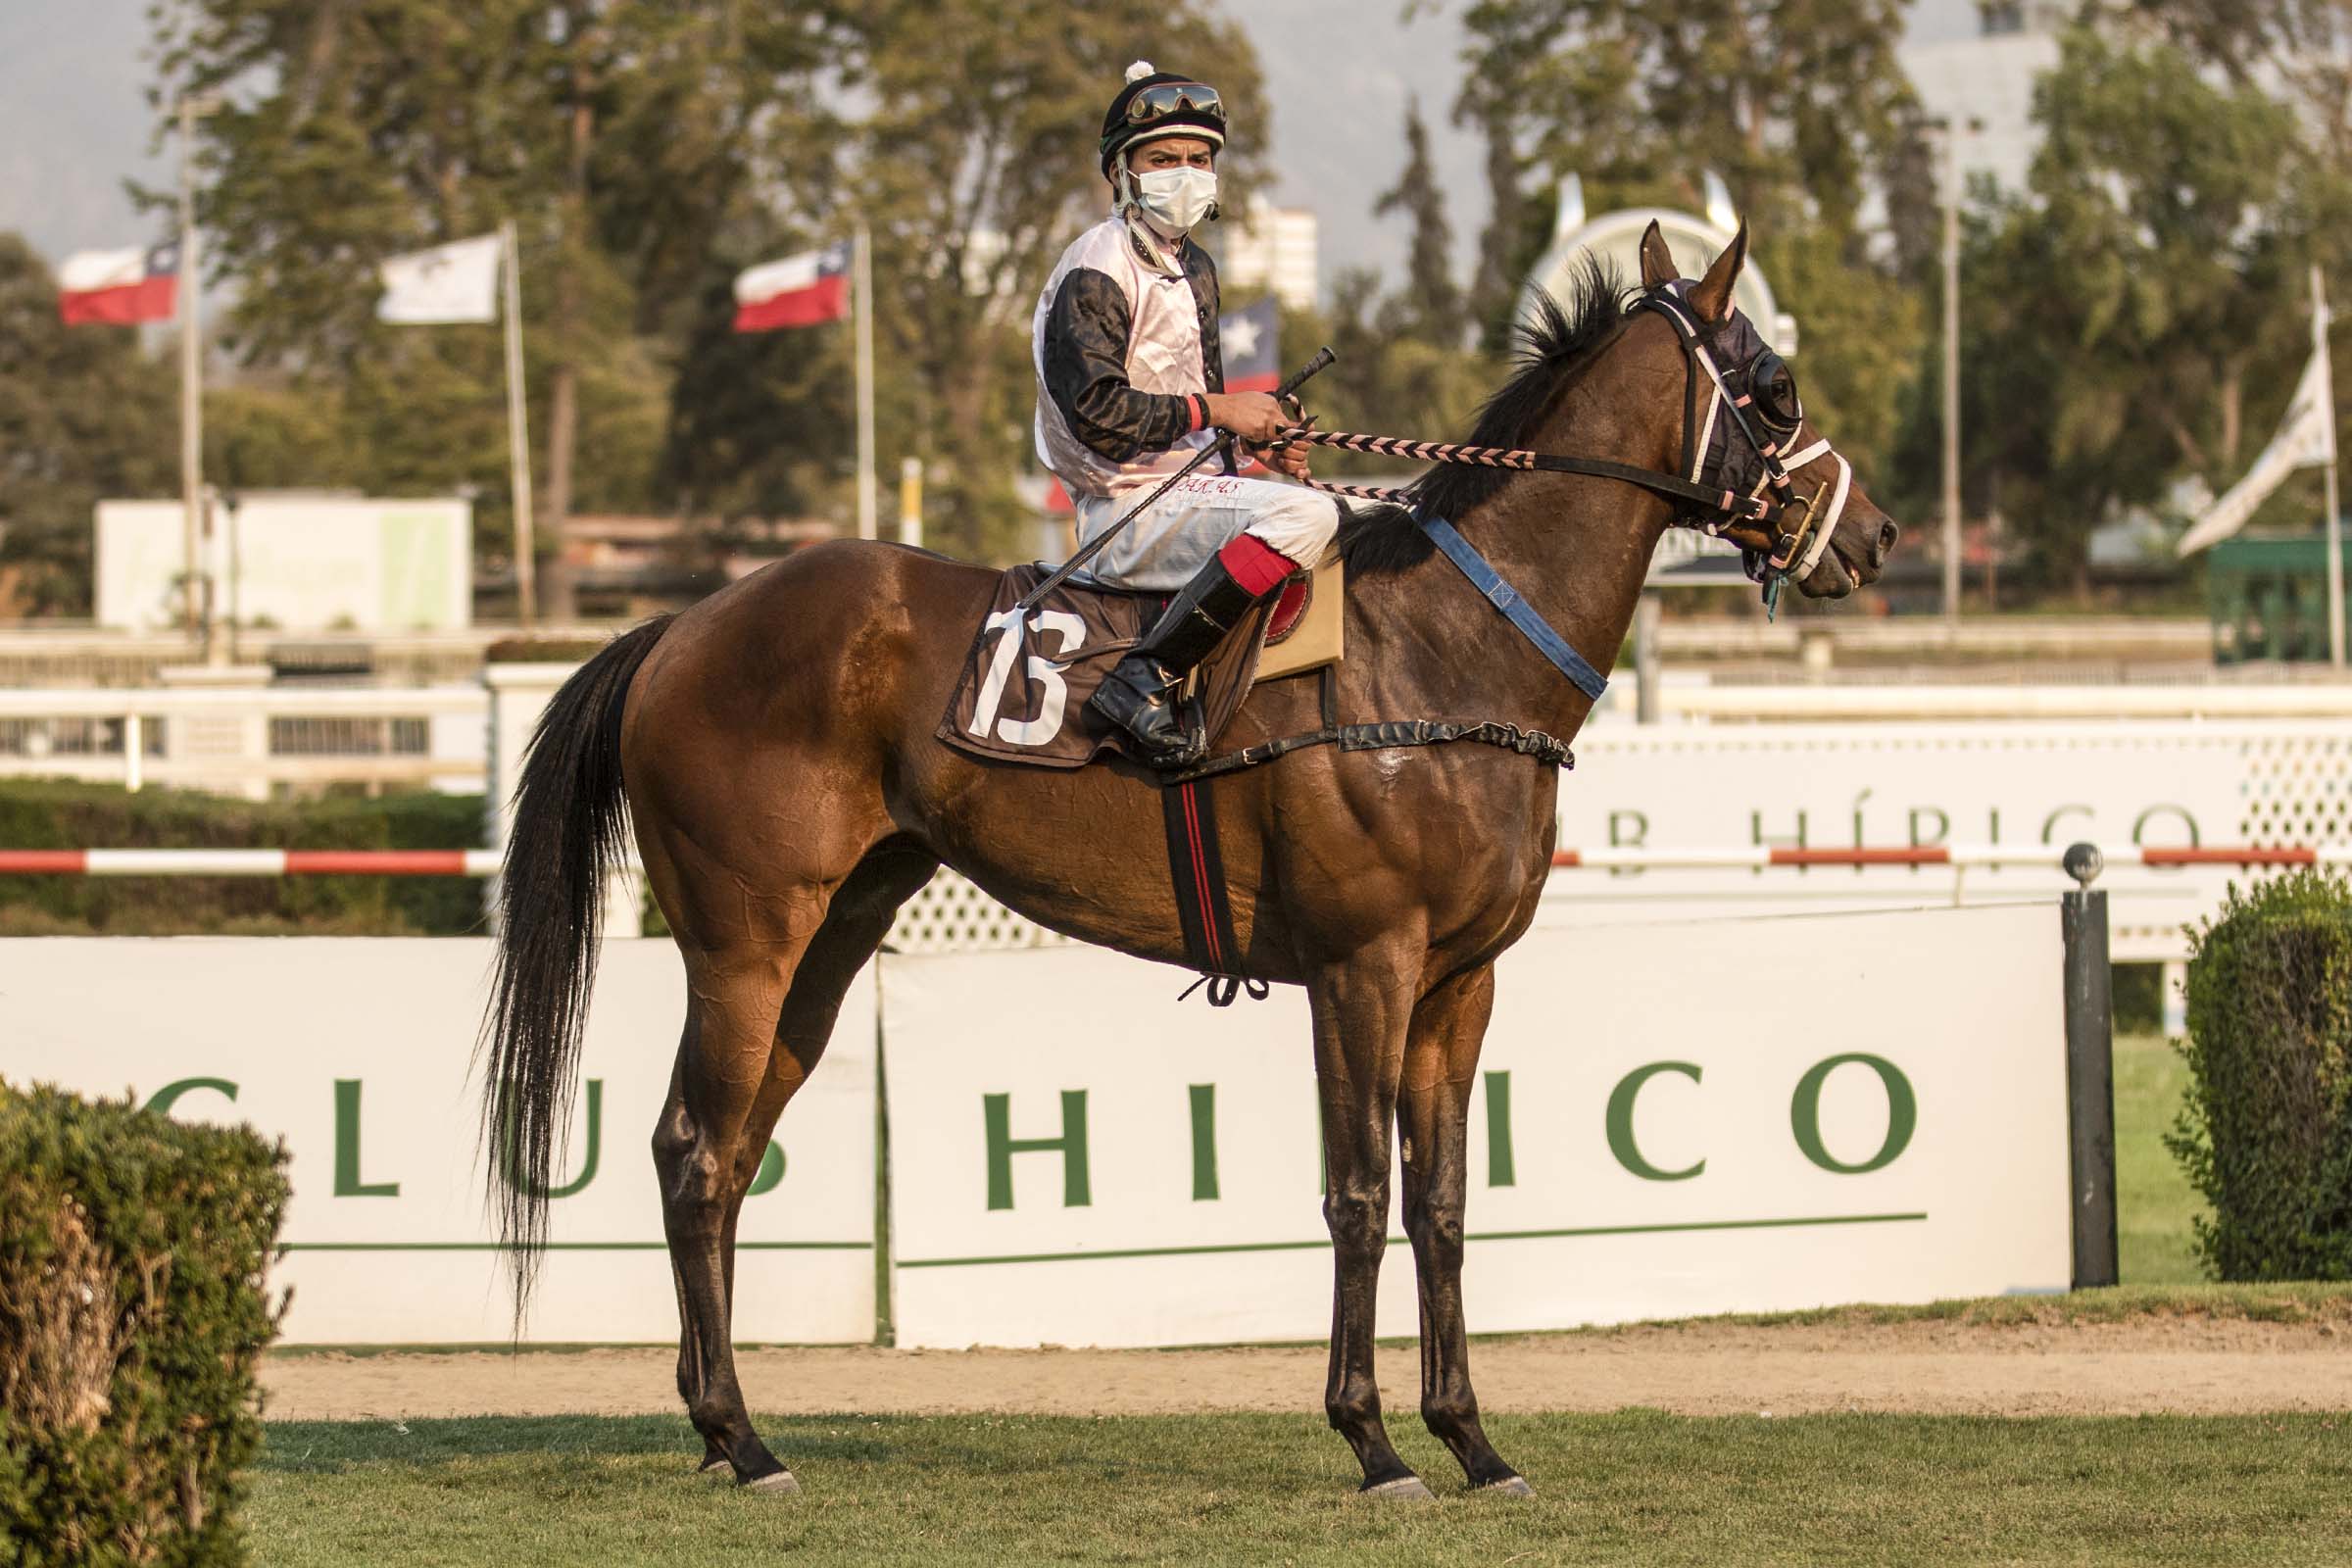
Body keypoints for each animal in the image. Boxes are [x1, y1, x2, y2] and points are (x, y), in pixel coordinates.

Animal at [480, 221, 1899, 1499]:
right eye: (1775, 387)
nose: (1876, 535)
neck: (1444, 651)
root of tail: (683, 625)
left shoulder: (1459, 980)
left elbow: (1442, 1201)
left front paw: (1472, 1441)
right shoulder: (1363, 966)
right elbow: (1356, 1192)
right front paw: (1374, 1444)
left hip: (828, 942)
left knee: (727, 1154)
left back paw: (724, 1430)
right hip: (744, 939)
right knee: (691, 1148)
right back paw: (743, 1436)